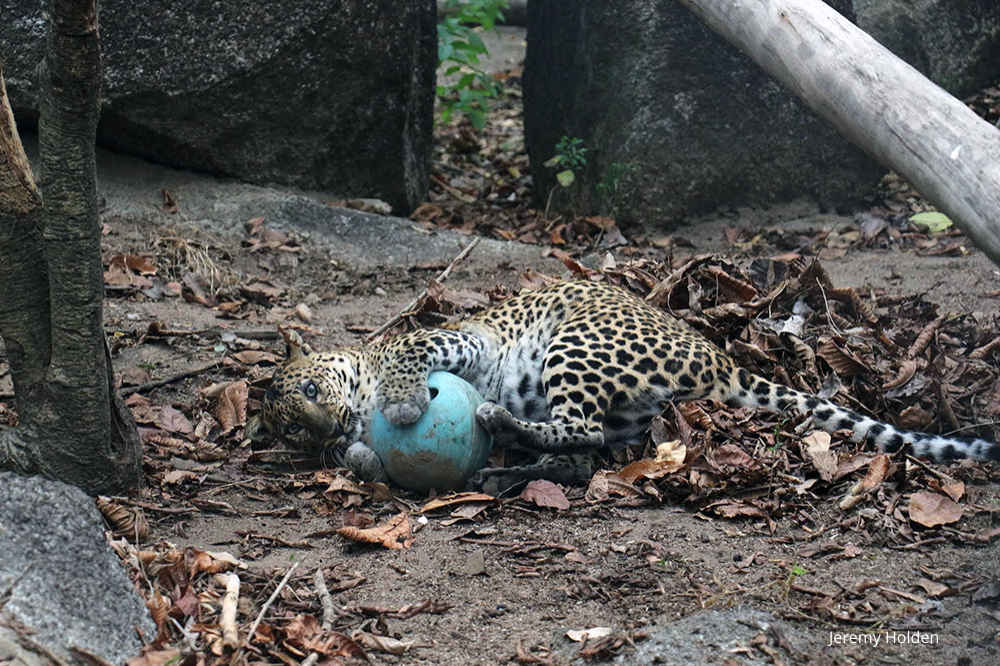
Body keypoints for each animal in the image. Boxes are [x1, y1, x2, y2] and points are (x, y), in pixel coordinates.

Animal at [246, 278, 996, 490]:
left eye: (307, 394)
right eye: (293, 433)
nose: (325, 425)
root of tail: (718, 359)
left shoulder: (459, 339)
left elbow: (412, 357)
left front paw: (401, 405)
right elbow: (360, 458)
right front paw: (359, 452)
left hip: (575, 347)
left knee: (574, 428)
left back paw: (501, 429)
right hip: (618, 413)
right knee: (584, 451)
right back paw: (509, 462)